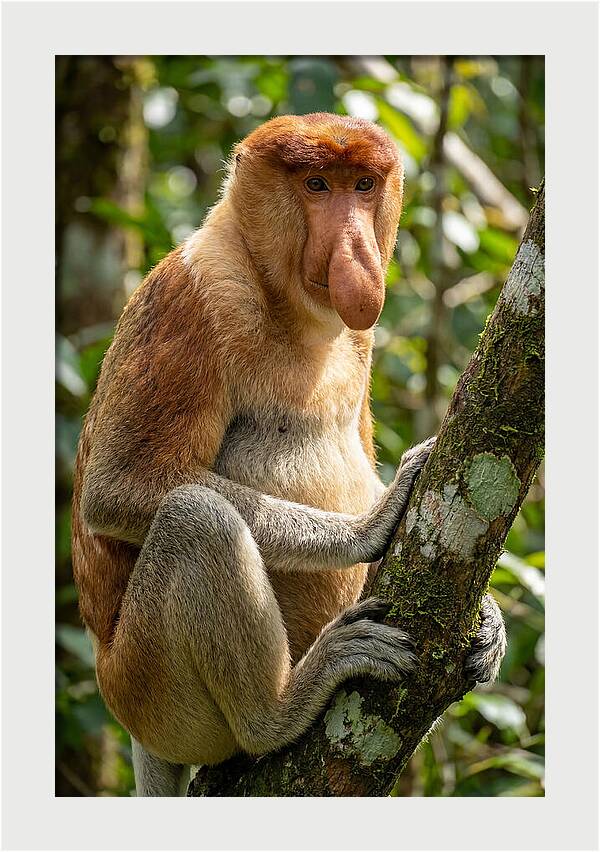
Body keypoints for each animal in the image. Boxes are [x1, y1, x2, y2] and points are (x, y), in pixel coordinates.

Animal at [71, 113, 506, 797]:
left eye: (362, 185)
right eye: (317, 185)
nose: (356, 249)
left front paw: (489, 618)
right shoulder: (193, 297)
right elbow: (119, 487)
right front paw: (371, 525)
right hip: (148, 690)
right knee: (195, 519)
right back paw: (280, 709)